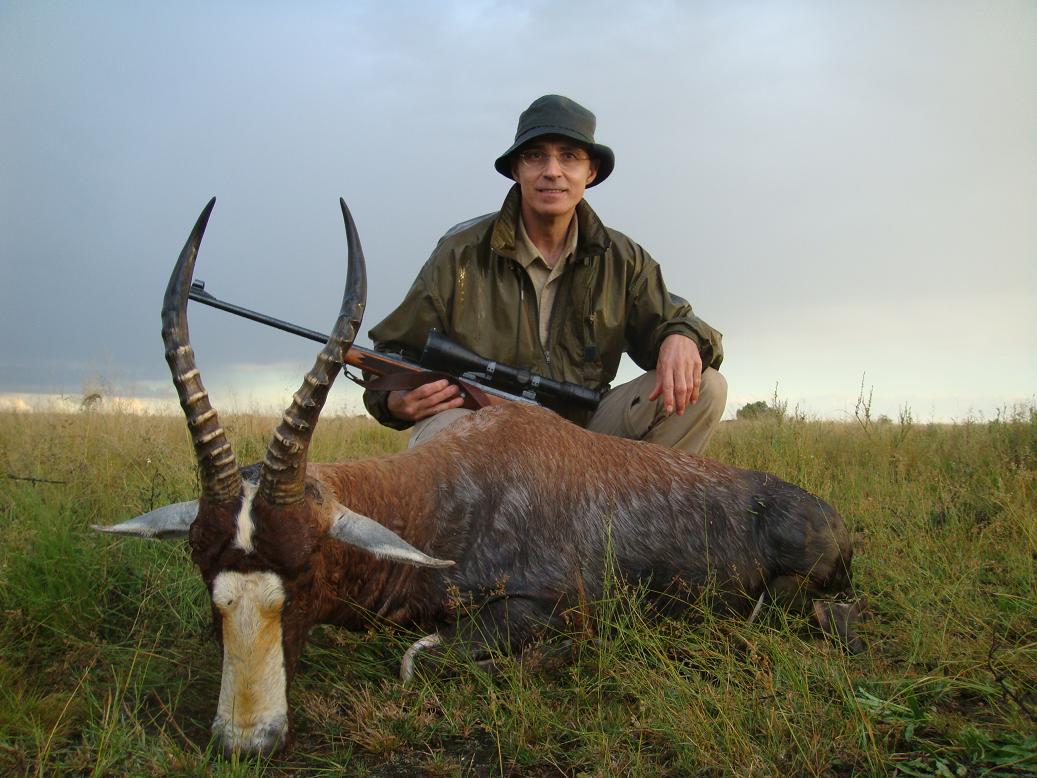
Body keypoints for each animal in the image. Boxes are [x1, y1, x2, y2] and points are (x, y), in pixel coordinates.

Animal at [93, 198, 862, 757]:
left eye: (306, 567)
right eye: (202, 566)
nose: (246, 742)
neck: (450, 488)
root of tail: (829, 517)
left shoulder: (537, 608)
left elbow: (419, 660)